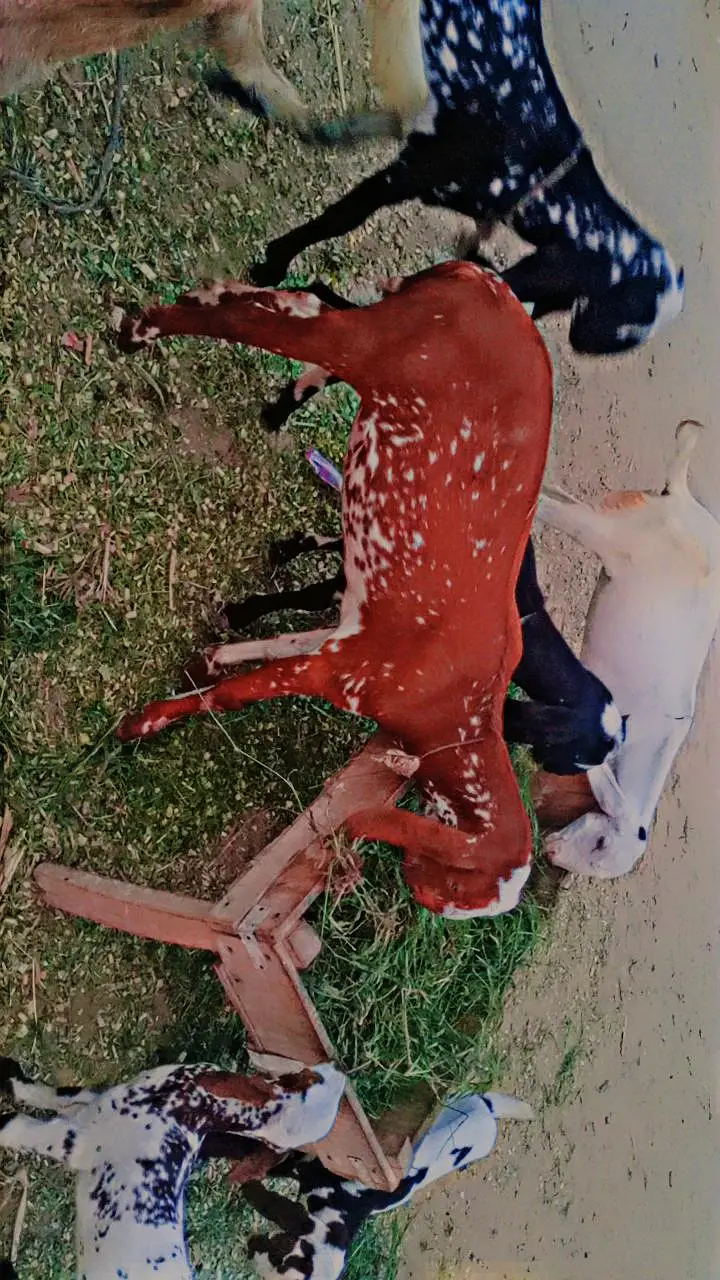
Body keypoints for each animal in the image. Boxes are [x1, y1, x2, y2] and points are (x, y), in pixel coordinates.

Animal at [0, 1055, 345, 1279]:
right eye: (311, 1078)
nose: (340, 1067)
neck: (191, 1108)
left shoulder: (75, 1141)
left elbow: (15, 1126)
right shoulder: (96, 1103)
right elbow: (61, 1095)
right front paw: (13, 1078)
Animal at [115, 262, 552, 918]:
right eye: (458, 892)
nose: (417, 893)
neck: (458, 714)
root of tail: (482, 279)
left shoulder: (343, 641)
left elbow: (275, 646)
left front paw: (208, 657)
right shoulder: (342, 673)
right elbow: (236, 696)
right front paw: (143, 724)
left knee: (288, 304)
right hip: (373, 347)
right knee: (267, 317)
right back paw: (143, 328)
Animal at [248, 0, 684, 356]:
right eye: (633, 311)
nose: (583, 342)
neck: (540, 175)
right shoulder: (406, 174)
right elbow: (339, 220)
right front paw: (273, 266)